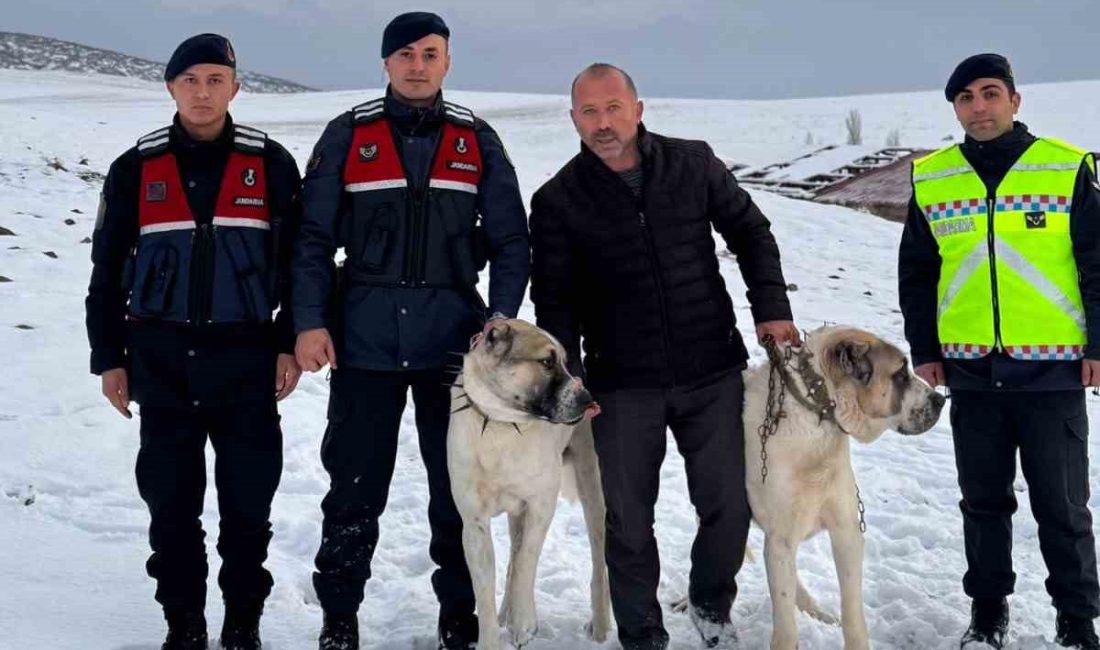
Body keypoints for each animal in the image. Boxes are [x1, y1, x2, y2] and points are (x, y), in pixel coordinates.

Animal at [448, 321, 620, 650]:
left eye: (563, 361)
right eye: (546, 361)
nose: (588, 400)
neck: (500, 424)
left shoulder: (540, 506)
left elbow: (526, 564)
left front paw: (524, 622)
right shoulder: (474, 523)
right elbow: (486, 588)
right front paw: (494, 636)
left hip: (593, 493)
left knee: (598, 567)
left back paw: (601, 629)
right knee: (513, 559)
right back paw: (506, 614)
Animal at [743, 327, 941, 650]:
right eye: (900, 374)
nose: (940, 399)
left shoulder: (847, 531)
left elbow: (852, 609)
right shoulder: (781, 538)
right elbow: (785, 624)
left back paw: (816, 612)